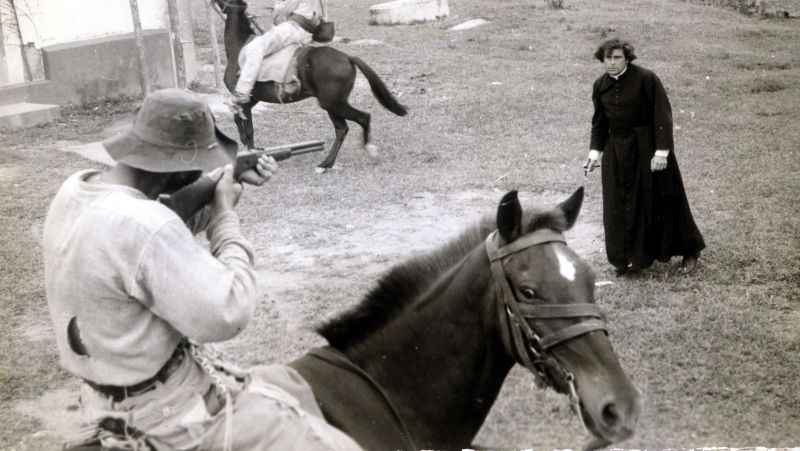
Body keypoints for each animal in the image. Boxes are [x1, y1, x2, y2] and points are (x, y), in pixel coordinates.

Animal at [212, 0, 406, 173]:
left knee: (361, 118)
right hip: (332, 105)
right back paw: (326, 164)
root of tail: (348, 58)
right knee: (342, 129)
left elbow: (248, 129)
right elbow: (241, 123)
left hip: (332, 104)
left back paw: (363, 151)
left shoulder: (244, 100)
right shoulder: (251, 100)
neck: (239, 46)